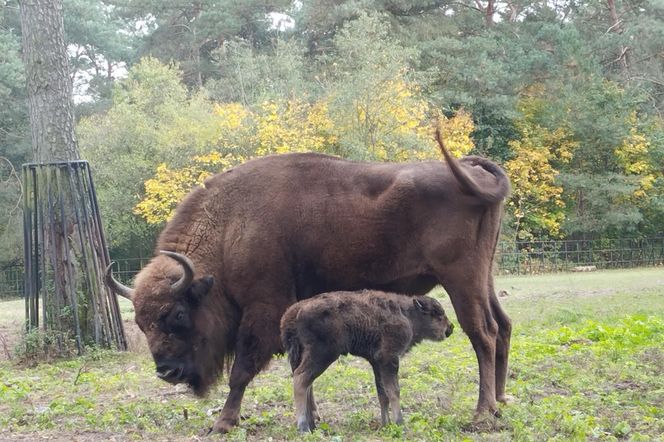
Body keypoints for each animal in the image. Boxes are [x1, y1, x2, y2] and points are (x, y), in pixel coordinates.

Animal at [278, 290, 454, 432]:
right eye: (437, 315)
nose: (450, 328)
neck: (407, 314)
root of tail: (294, 311)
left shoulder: (377, 362)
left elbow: (382, 393)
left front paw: (385, 424)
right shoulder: (389, 359)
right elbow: (394, 391)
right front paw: (399, 423)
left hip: (304, 356)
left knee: (307, 384)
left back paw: (312, 425)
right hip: (322, 355)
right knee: (301, 380)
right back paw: (303, 427)